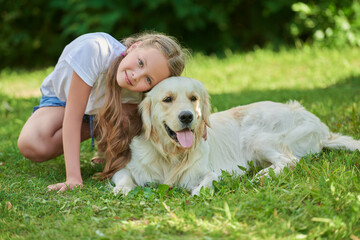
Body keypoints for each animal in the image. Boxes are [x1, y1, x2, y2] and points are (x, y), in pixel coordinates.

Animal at [112, 77, 358, 195]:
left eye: (193, 98)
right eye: (167, 99)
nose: (187, 116)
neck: (170, 156)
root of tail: (319, 124)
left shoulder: (221, 170)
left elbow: (208, 178)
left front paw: (200, 191)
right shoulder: (127, 167)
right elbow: (123, 177)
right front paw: (122, 189)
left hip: (257, 137)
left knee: (289, 160)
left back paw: (262, 175)